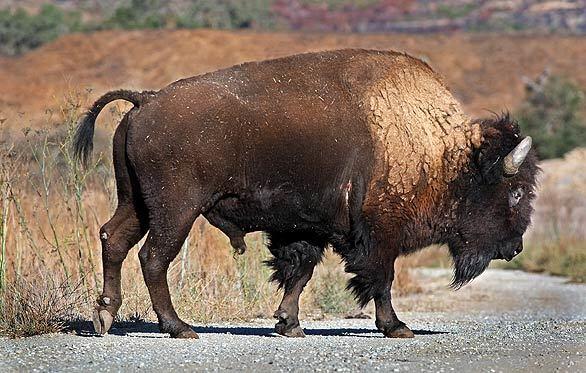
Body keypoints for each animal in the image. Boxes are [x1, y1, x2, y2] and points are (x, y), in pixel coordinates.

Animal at [75, 50, 536, 340]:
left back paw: (105, 316)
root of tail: (146, 99)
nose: (515, 247)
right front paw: (396, 328)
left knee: (114, 238)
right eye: (514, 193)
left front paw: (289, 324)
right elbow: (381, 280)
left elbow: (299, 272)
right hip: (176, 211)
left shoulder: (307, 228)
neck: (441, 153)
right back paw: (179, 328)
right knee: (153, 258)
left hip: (137, 202)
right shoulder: (378, 235)